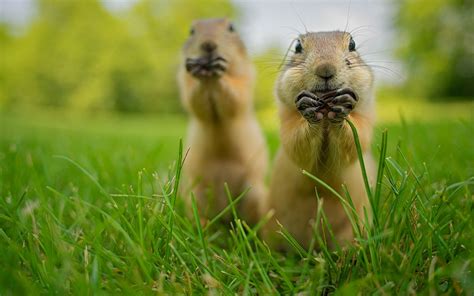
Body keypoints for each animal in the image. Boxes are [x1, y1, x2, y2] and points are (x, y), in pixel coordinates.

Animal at [178, 17, 266, 224]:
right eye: (191, 31)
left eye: (231, 27)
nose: (208, 44)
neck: (210, 80)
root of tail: (225, 215)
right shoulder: (184, 80)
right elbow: (193, 98)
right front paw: (197, 68)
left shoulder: (246, 76)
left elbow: (236, 95)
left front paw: (220, 71)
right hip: (194, 194)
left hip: (255, 192)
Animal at [262, 31, 376, 250]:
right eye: (297, 46)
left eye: (352, 44)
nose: (325, 69)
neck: (325, 119)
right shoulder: (287, 120)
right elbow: (295, 143)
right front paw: (308, 107)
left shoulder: (365, 117)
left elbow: (356, 139)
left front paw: (343, 106)